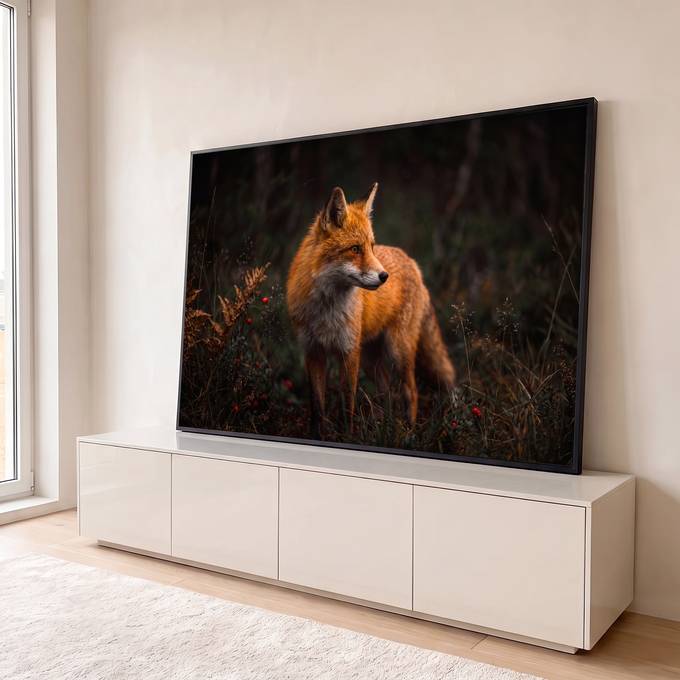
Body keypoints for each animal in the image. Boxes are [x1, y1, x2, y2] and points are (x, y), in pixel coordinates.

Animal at [286, 183, 455, 440]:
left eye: (371, 247)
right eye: (355, 249)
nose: (385, 276)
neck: (327, 310)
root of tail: (411, 261)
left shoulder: (348, 352)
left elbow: (347, 403)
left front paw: (347, 437)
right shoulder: (313, 351)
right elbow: (317, 407)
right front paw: (316, 437)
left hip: (397, 350)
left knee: (411, 391)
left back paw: (408, 431)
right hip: (369, 358)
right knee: (387, 390)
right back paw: (384, 426)